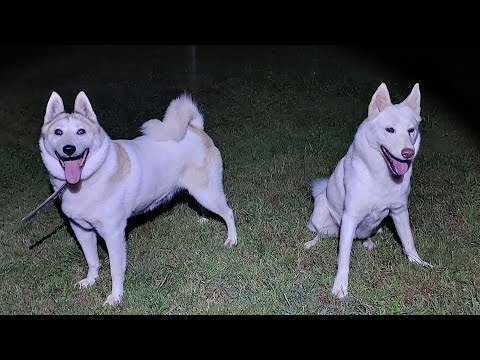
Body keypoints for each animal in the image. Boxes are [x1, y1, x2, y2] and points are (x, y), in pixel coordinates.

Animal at [39, 91, 238, 306]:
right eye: (58, 132)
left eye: (81, 131)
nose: (69, 148)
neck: (87, 180)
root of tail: (195, 128)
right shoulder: (81, 230)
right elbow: (92, 260)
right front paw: (91, 280)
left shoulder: (113, 234)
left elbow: (116, 270)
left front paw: (116, 297)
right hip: (197, 191)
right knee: (206, 207)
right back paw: (204, 218)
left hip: (207, 192)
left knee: (228, 213)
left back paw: (232, 239)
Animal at [308, 83, 432, 298]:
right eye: (390, 129)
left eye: (411, 130)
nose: (408, 153)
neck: (382, 175)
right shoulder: (350, 217)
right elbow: (343, 258)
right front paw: (340, 287)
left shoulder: (399, 211)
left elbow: (408, 240)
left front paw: (417, 262)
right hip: (323, 219)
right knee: (319, 234)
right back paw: (311, 243)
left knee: (366, 234)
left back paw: (368, 242)